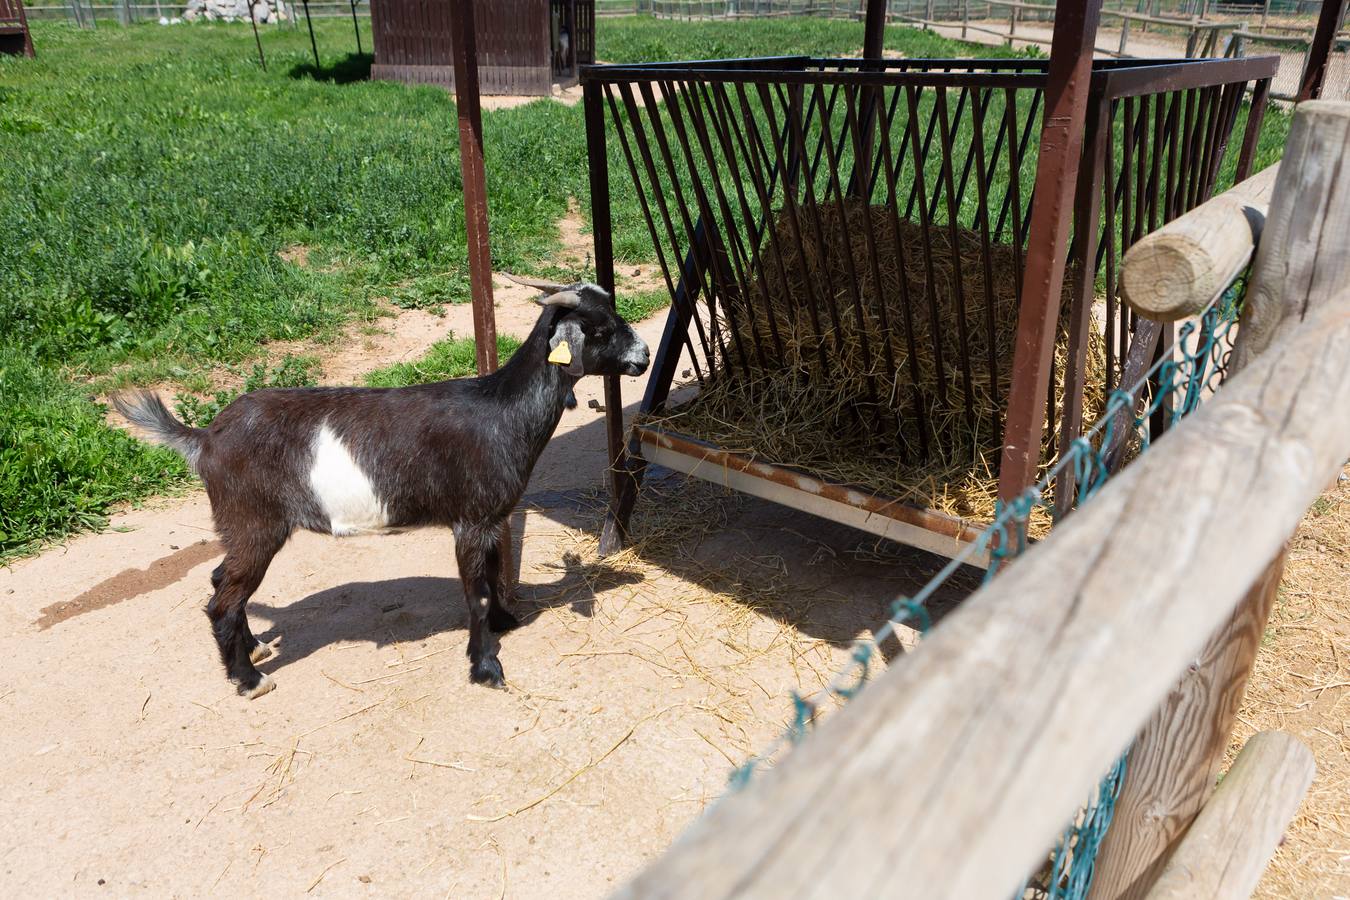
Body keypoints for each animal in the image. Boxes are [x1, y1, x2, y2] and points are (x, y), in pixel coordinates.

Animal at [113, 282, 650, 696]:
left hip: (241, 527)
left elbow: (495, 573)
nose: (643, 356)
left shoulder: (494, 518)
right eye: (601, 329)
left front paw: (504, 623)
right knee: (222, 600)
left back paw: (253, 648)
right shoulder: (470, 519)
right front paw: (485, 668)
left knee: (221, 580)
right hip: (254, 523)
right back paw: (249, 680)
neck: (502, 410)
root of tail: (204, 438)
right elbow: (475, 594)